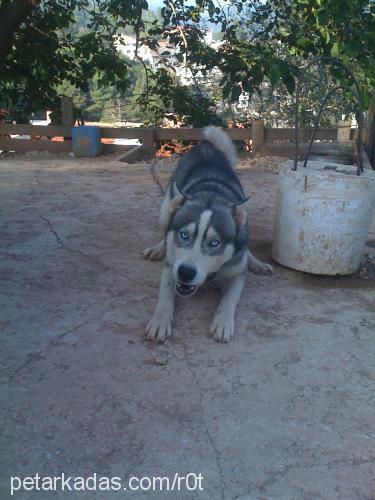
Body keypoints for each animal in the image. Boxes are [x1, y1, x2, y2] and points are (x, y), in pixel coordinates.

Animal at [144, 127, 274, 342]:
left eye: (214, 243)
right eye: (184, 235)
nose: (186, 272)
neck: (211, 194)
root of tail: (206, 146)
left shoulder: (237, 273)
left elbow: (229, 299)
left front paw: (223, 321)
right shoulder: (171, 265)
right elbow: (165, 293)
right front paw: (160, 320)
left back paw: (256, 262)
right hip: (166, 209)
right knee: (165, 226)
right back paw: (158, 247)